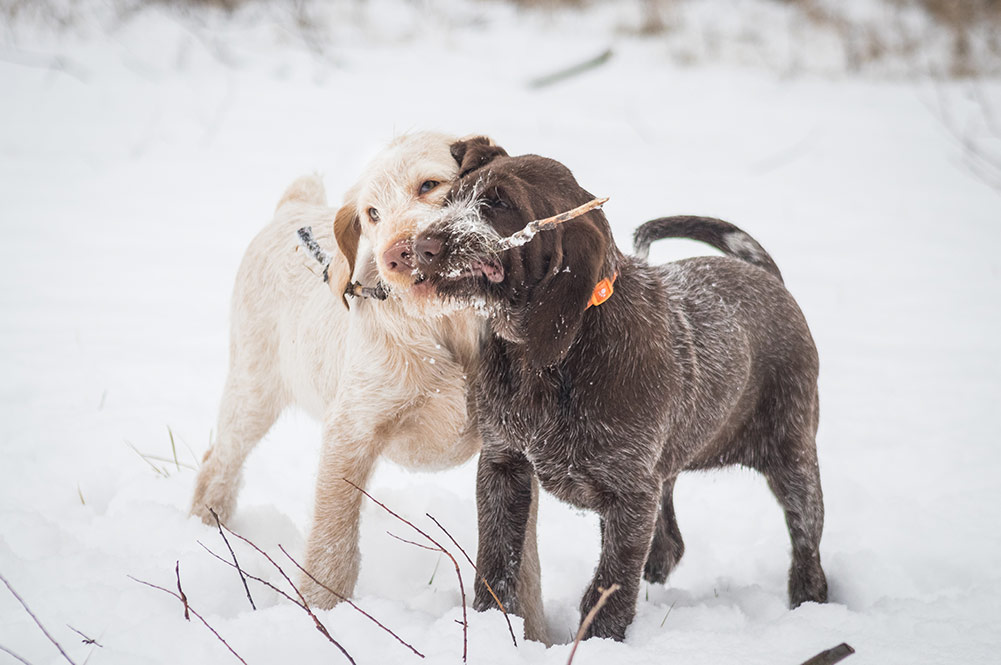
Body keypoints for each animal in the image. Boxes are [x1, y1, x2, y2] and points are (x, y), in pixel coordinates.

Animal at [189, 134, 548, 640]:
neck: (446, 325)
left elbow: (526, 565)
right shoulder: (351, 433)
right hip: (252, 390)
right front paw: (321, 618)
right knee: (217, 464)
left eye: (430, 185)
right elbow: (332, 545)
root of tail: (292, 209)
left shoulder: (514, 447)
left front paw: (535, 636)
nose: (396, 255)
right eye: (372, 214)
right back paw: (204, 530)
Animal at [410, 139, 824, 640]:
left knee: (806, 544)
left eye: (501, 205)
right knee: (670, 542)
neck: (546, 361)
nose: (419, 247)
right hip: (665, 471)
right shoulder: (503, 466)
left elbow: (610, 585)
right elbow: (496, 561)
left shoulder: (629, 496)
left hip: (792, 457)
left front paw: (598, 643)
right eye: (450, 200)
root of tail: (766, 277)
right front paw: (497, 628)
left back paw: (810, 604)